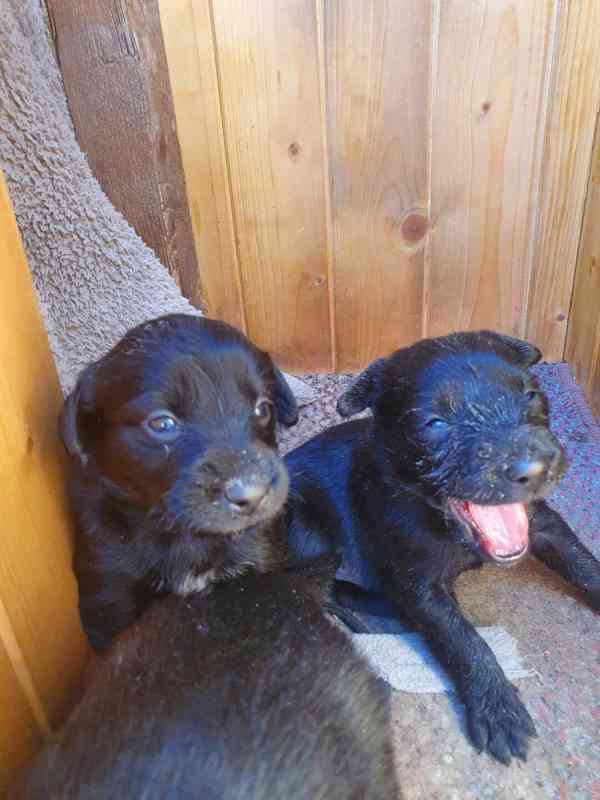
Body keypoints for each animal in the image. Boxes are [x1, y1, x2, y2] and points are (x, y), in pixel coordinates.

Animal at [59, 312, 298, 648]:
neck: (183, 535)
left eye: (263, 408)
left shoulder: (265, 558)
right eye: (162, 423)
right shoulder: (109, 594)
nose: (253, 494)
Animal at [288, 330, 600, 764]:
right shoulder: (419, 580)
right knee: (318, 589)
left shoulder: (544, 523)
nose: (535, 469)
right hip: (306, 527)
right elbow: (461, 638)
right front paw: (497, 708)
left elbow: (583, 562)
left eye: (532, 395)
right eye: (435, 424)